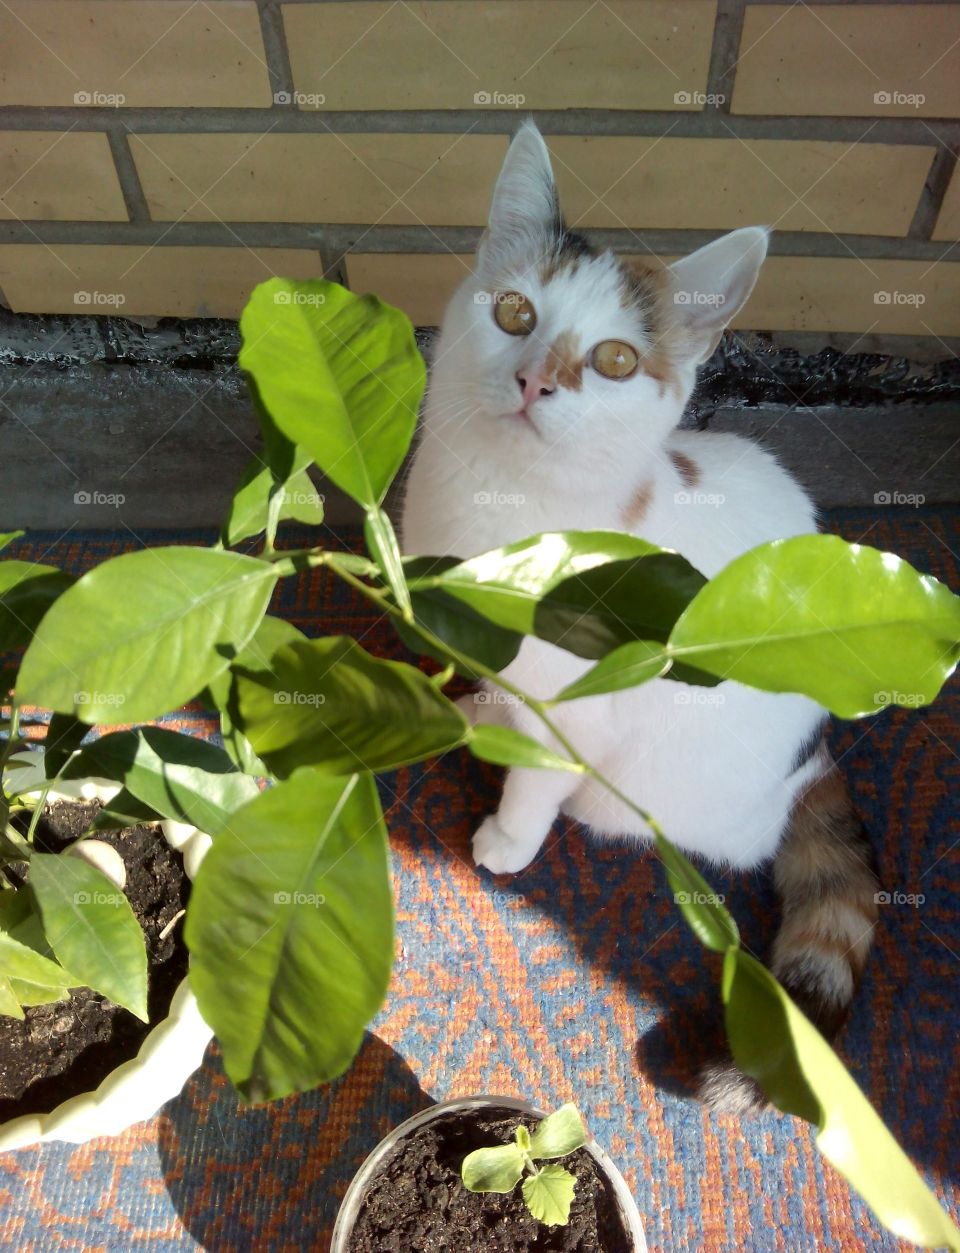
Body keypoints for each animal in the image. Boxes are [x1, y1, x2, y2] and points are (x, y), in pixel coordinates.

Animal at [398, 122, 882, 1112]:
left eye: (614, 361)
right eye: (514, 313)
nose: (536, 380)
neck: (507, 510)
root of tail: (812, 759)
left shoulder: (580, 709)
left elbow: (537, 777)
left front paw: (506, 836)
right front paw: (472, 710)